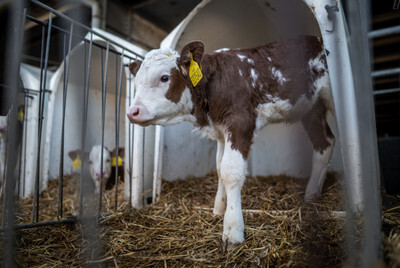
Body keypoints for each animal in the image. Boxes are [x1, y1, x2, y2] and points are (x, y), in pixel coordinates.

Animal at [126, 35, 336, 247]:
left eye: (164, 78)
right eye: (137, 82)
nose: (132, 112)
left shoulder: (240, 122)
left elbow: (231, 171)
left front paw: (232, 229)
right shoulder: (220, 131)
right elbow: (220, 167)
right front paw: (218, 209)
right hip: (311, 108)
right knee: (325, 143)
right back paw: (311, 196)